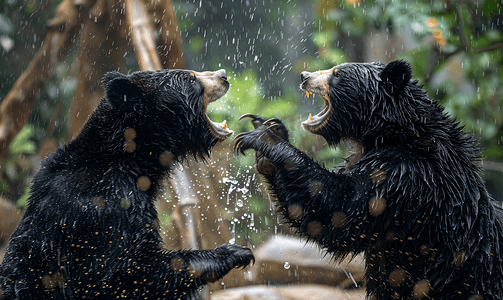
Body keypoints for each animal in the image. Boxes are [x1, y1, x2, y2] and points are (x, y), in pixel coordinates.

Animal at [0, 68, 254, 300]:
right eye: (191, 79)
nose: (223, 75)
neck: (132, 159)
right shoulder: (108, 206)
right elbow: (124, 272)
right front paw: (234, 252)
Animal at [236, 61, 503, 300]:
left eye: (336, 74)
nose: (304, 76)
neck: (392, 133)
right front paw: (270, 126)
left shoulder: (404, 177)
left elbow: (341, 211)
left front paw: (263, 137)